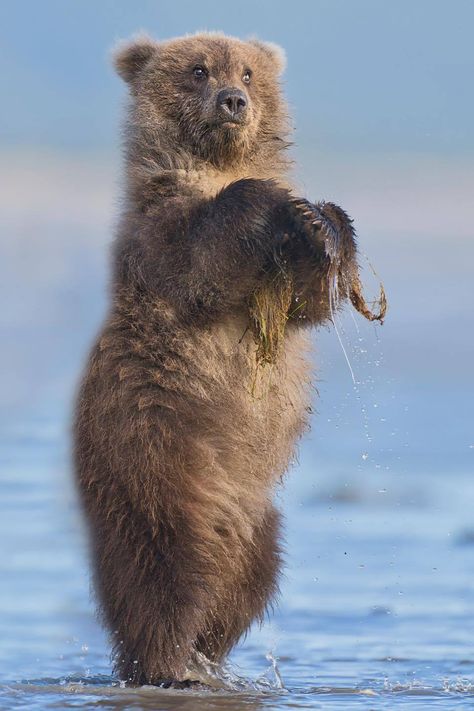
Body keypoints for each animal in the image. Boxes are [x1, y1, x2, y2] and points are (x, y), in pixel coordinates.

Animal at [74, 30, 360, 688]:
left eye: (249, 73)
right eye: (199, 70)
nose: (233, 100)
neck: (214, 164)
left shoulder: (275, 288)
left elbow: (307, 302)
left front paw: (322, 220)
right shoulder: (157, 233)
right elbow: (198, 262)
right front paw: (271, 199)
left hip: (256, 517)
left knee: (249, 583)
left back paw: (208, 653)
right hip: (156, 457)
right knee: (163, 571)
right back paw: (167, 664)